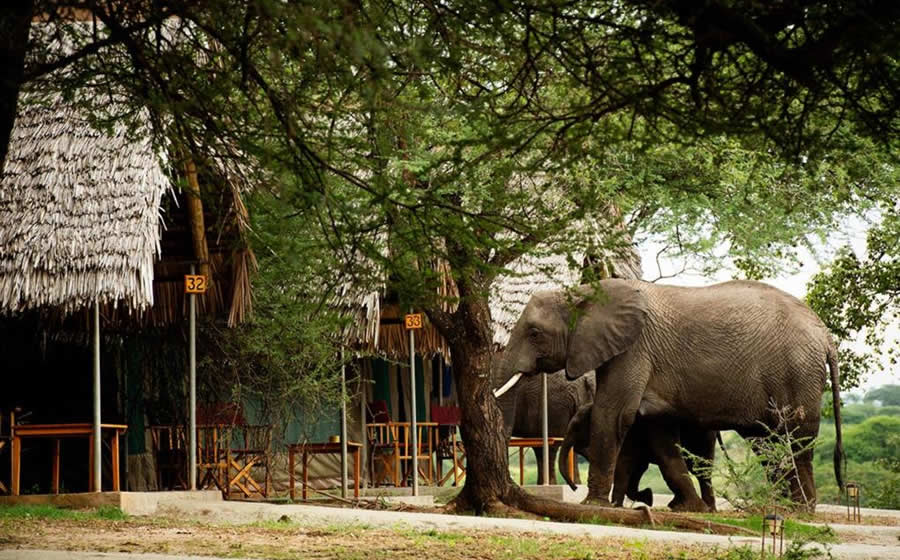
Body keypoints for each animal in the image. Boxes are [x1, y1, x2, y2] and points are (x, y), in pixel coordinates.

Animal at [564, 402, 716, 512]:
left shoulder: (630, 437)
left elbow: (625, 463)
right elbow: (637, 467)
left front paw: (617, 505)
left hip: (702, 439)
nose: (575, 488)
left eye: (576, 426)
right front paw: (648, 497)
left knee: (700, 470)